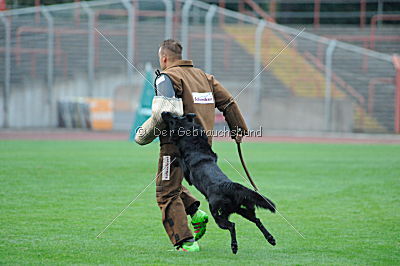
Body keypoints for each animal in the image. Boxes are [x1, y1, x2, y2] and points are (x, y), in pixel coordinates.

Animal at [161, 111, 276, 254]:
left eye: (174, 118)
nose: (163, 112)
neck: (196, 146)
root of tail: (231, 186)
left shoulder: (186, 171)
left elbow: (178, 159)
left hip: (217, 214)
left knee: (232, 225)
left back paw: (234, 246)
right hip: (241, 210)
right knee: (257, 220)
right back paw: (270, 239)